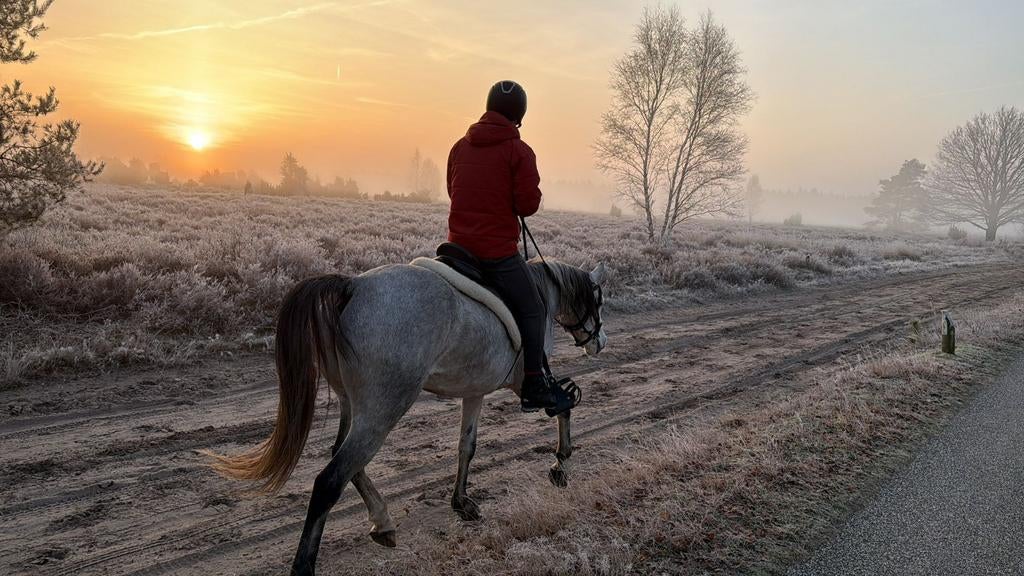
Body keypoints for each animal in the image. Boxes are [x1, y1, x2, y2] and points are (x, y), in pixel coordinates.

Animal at [204, 258, 608, 575]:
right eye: (599, 299)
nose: (599, 343)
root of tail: (353, 286)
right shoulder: (527, 380)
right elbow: (563, 407)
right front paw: (560, 465)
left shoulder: (475, 391)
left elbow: (467, 446)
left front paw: (461, 502)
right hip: (385, 406)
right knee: (331, 479)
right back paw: (308, 563)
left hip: (356, 405)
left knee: (344, 459)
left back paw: (382, 522)